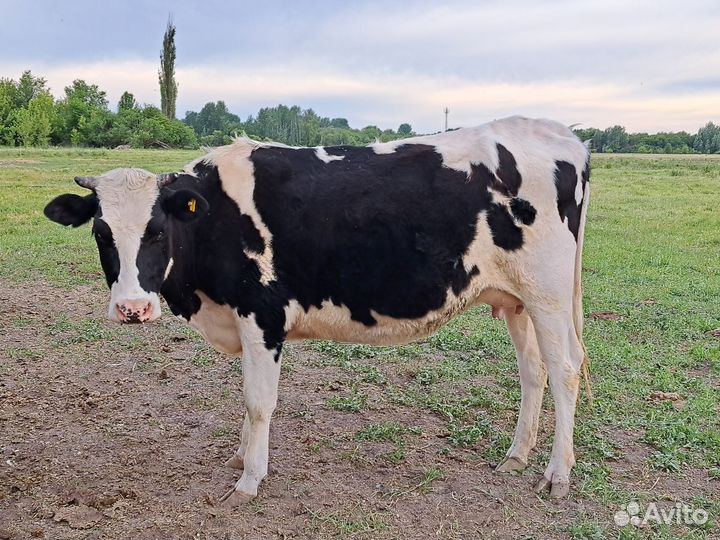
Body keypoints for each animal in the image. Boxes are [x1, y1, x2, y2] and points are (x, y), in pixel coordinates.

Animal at [44, 116, 591, 506]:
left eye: (157, 230)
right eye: (101, 232)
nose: (132, 307)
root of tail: (563, 135)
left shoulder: (262, 316)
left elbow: (258, 402)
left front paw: (250, 479)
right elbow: (247, 402)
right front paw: (241, 457)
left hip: (548, 295)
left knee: (565, 368)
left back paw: (557, 474)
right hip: (517, 300)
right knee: (534, 371)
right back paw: (517, 456)